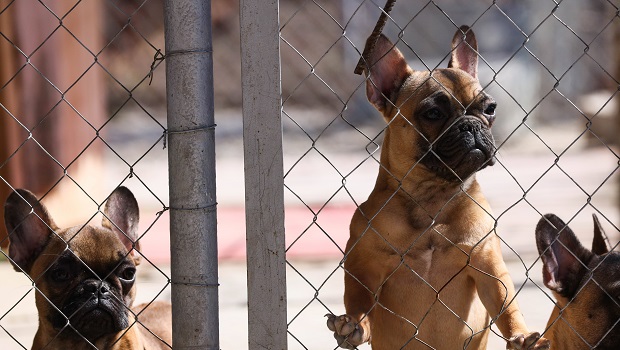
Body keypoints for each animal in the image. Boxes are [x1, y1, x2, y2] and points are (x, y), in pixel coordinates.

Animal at [324, 26, 548, 350]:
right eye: (432, 114)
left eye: (490, 109)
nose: (471, 125)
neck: (432, 195)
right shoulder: (363, 263)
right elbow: (360, 298)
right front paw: (353, 325)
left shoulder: (487, 263)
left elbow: (505, 303)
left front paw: (521, 335)